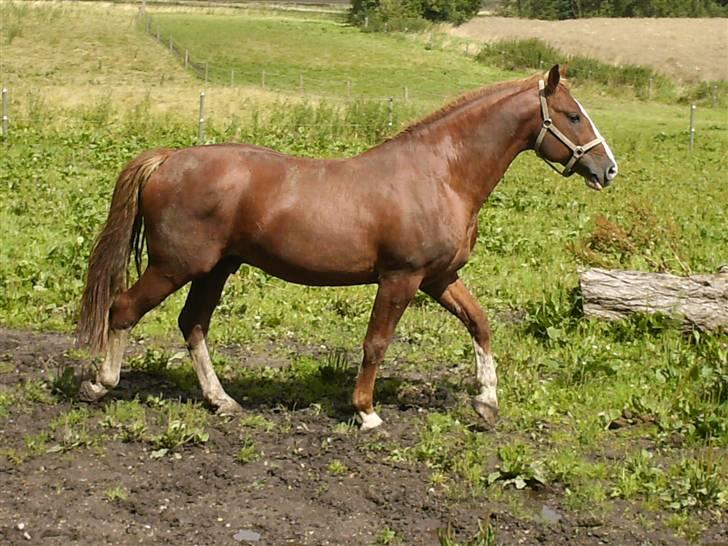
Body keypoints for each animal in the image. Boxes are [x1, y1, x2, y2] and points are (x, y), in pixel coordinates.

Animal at [77, 65, 616, 430]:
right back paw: (99, 384)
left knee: (193, 325)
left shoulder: (439, 277)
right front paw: (367, 412)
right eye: (572, 115)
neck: (440, 174)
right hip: (176, 266)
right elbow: (376, 343)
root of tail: (168, 160)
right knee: (123, 310)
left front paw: (486, 402)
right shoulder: (402, 277)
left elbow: (479, 324)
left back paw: (221, 400)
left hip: (215, 269)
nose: (607, 169)